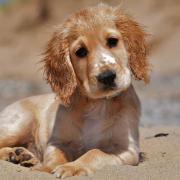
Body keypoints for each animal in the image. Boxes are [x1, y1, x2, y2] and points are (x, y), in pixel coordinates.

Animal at [0, 3, 149, 178]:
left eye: (113, 41)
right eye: (81, 52)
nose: (107, 77)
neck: (97, 104)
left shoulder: (127, 150)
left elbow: (95, 152)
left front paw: (73, 167)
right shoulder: (56, 142)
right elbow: (55, 156)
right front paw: (45, 169)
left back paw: (22, 155)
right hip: (18, 124)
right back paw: (14, 154)